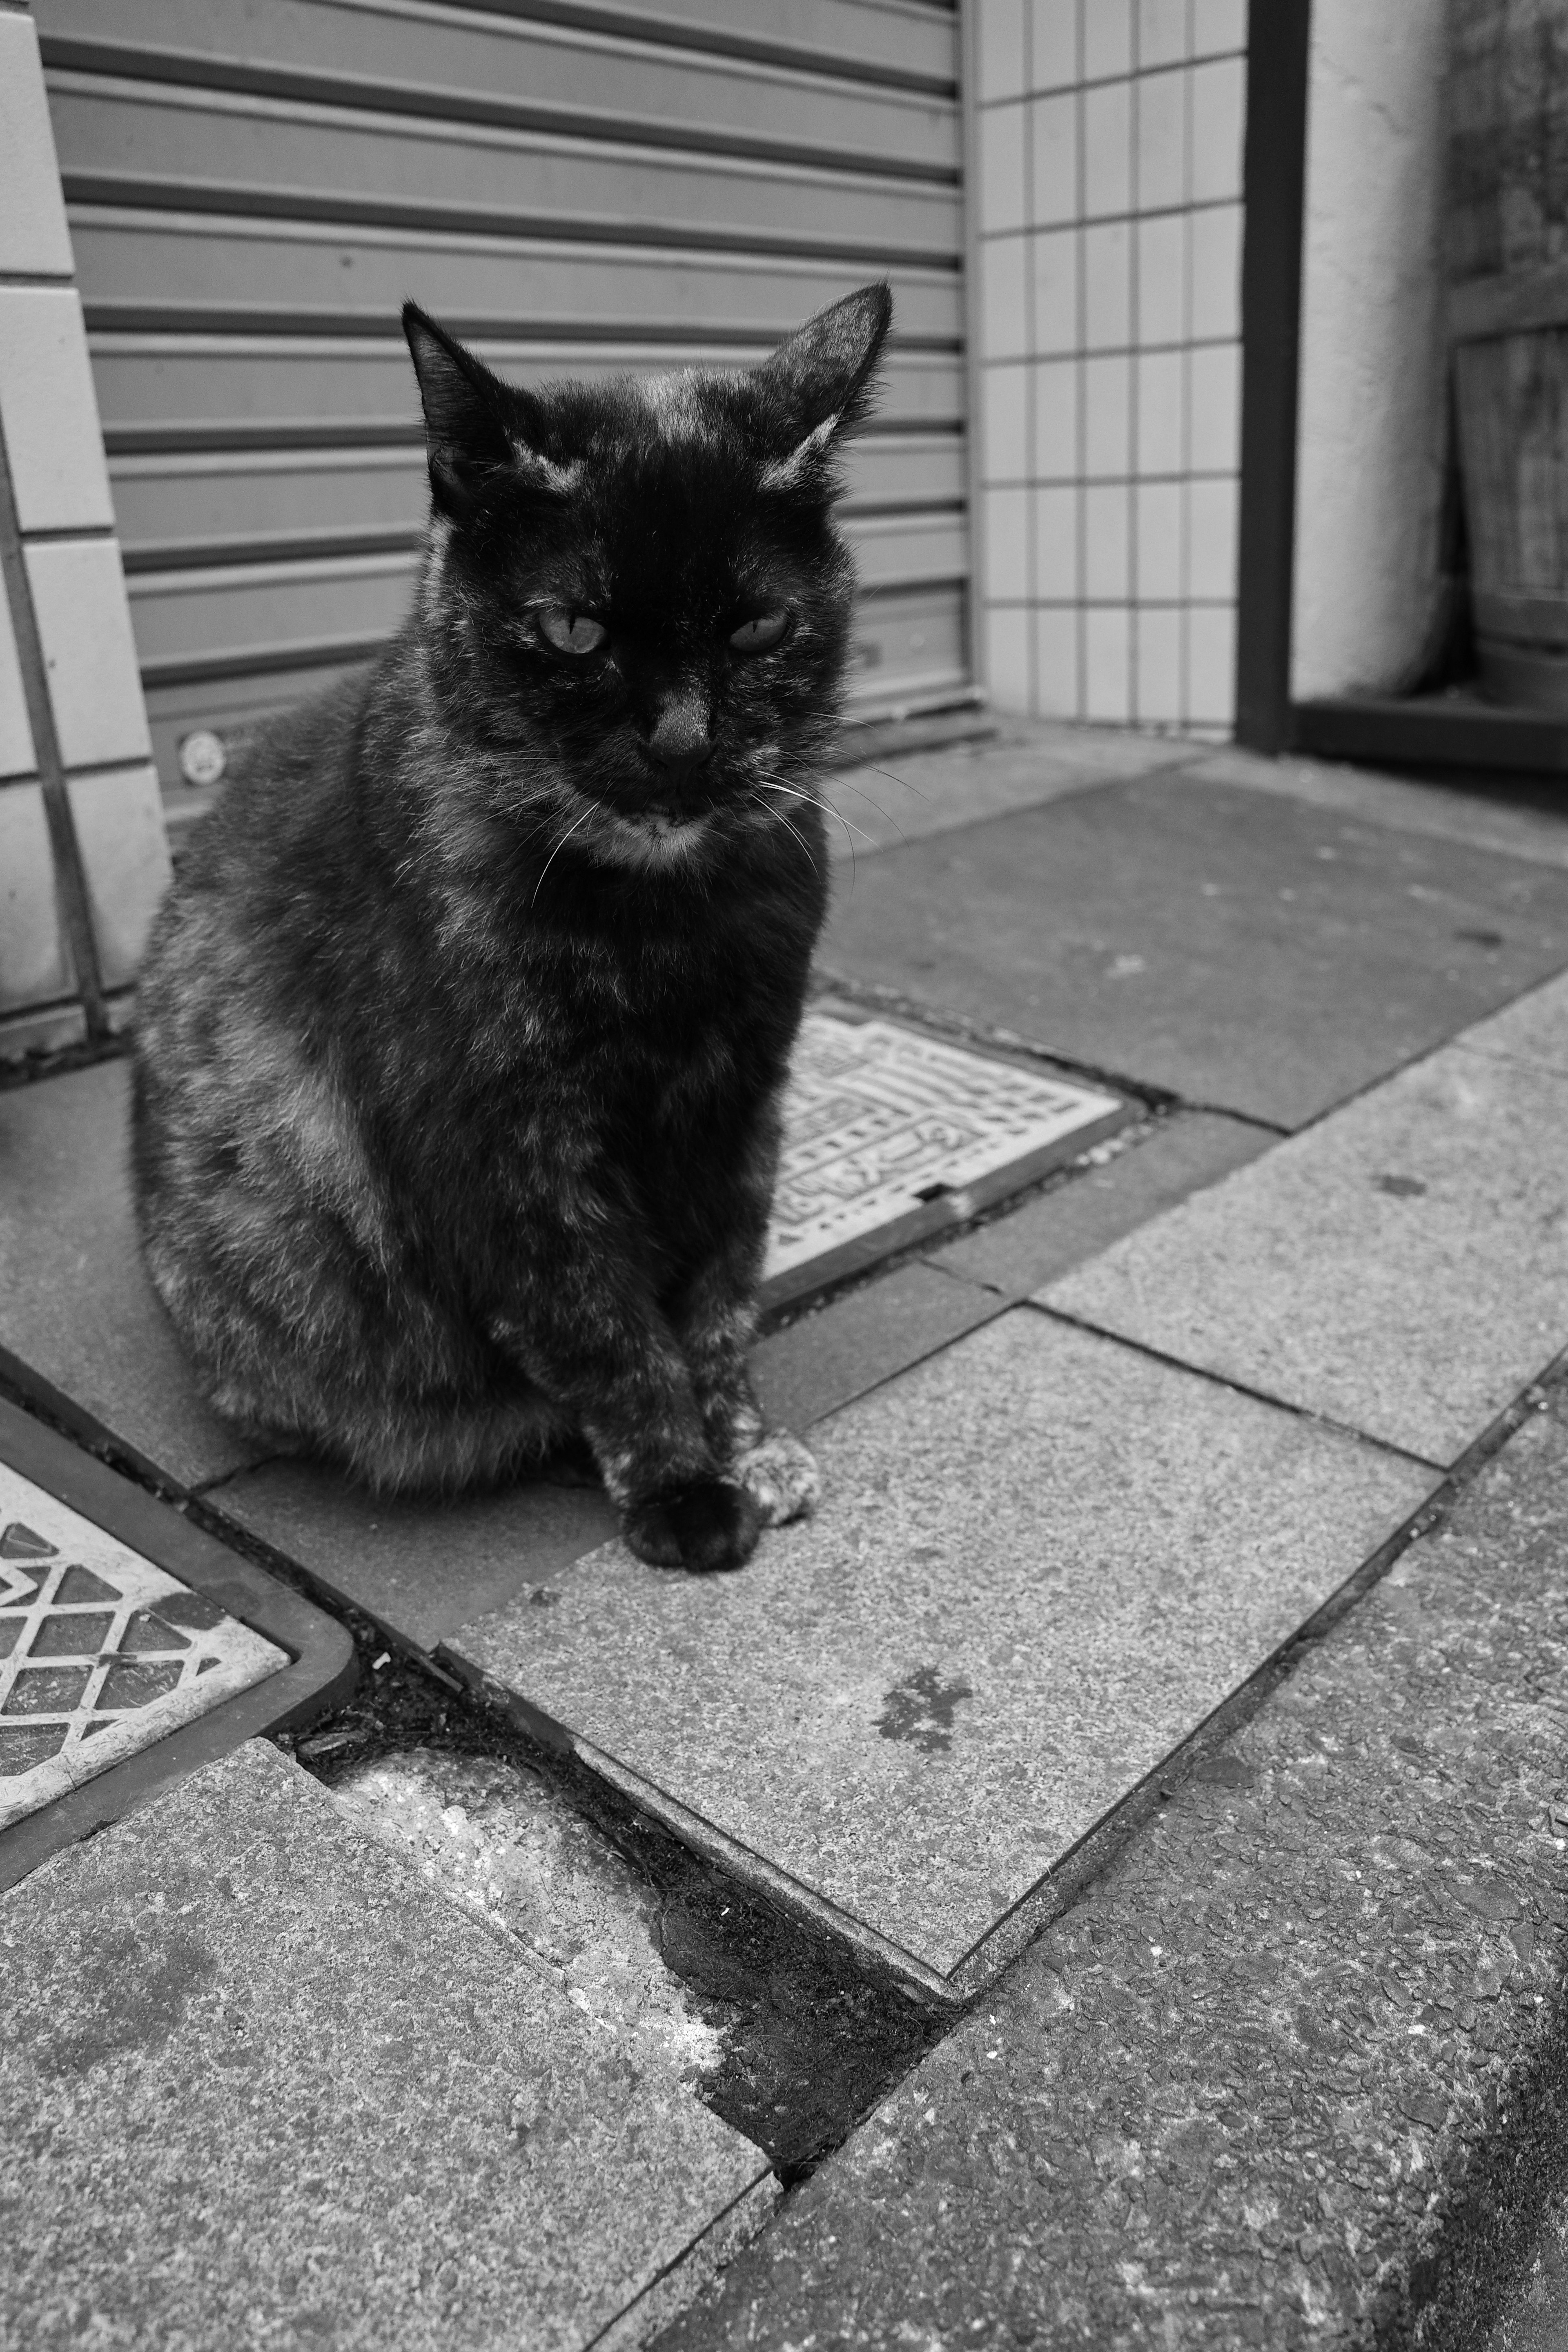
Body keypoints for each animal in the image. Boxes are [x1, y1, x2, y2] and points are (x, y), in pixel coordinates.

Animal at [131, 284, 893, 1571]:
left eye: (754, 629)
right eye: (575, 630)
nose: (681, 739)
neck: (666, 925)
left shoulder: (743, 1098)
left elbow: (719, 1298)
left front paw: (743, 1442)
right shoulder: (501, 1147)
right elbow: (603, 1324)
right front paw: (680, 1488)